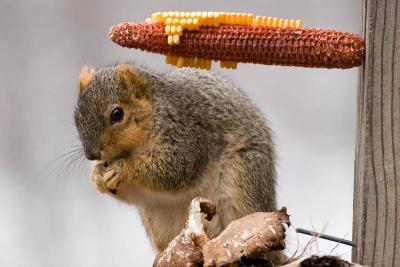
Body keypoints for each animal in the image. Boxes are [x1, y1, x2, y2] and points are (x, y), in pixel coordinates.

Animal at [76, 63, 282, 264]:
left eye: (117, 114)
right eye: (77, 117)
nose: (91, 155)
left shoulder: (187, 134)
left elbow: (175, 168)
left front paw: (123, 169)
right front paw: (97, 175)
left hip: (243, 181)